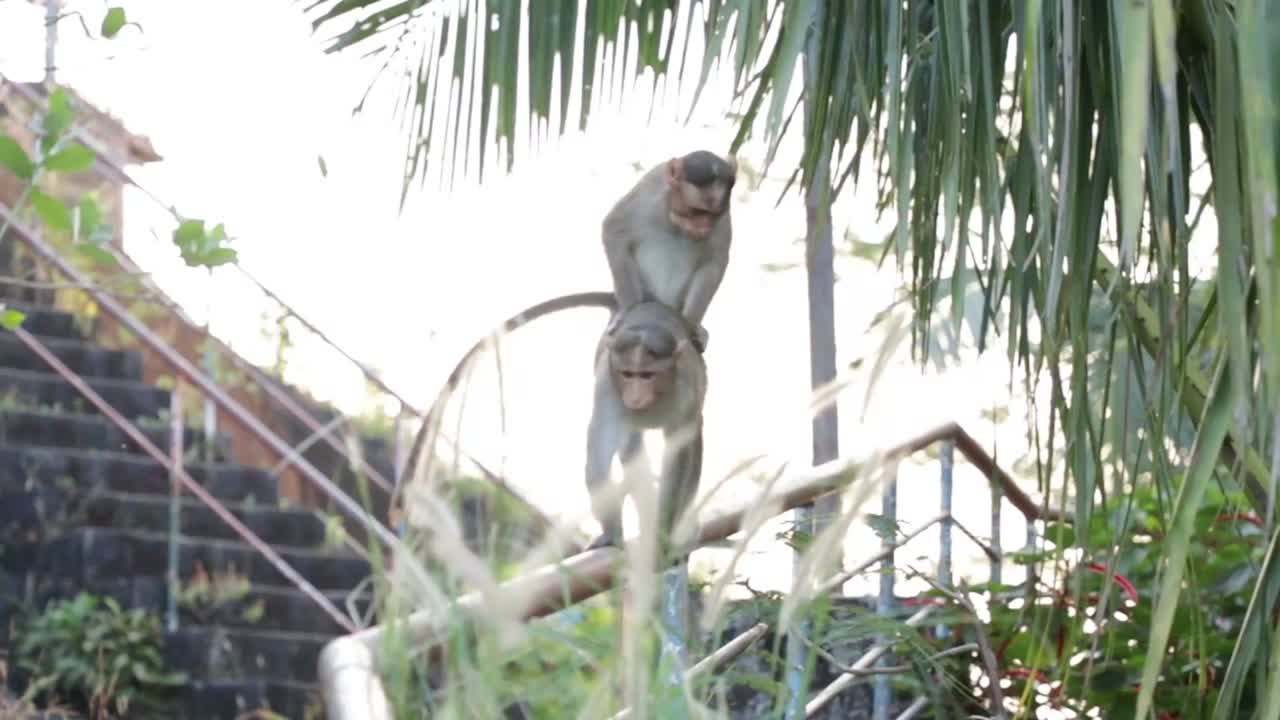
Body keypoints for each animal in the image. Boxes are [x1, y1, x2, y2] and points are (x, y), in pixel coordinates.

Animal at [583, 300, 706, 553]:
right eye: (627, 374)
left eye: (648, 375)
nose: (635, 396)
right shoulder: (606, 385)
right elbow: (600, 451)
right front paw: (610, 533)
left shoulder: (686, 393)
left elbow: (678, 453)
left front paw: (664, 530)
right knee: (630, 448)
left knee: (693, 442)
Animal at [602, 150, 737, 353]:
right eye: (696, 211)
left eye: (712, 215)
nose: (704, 228)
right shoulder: (650, 191)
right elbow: (613, 230)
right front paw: (628, 310)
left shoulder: (724, 217)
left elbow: (714, 262)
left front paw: (691, 324)